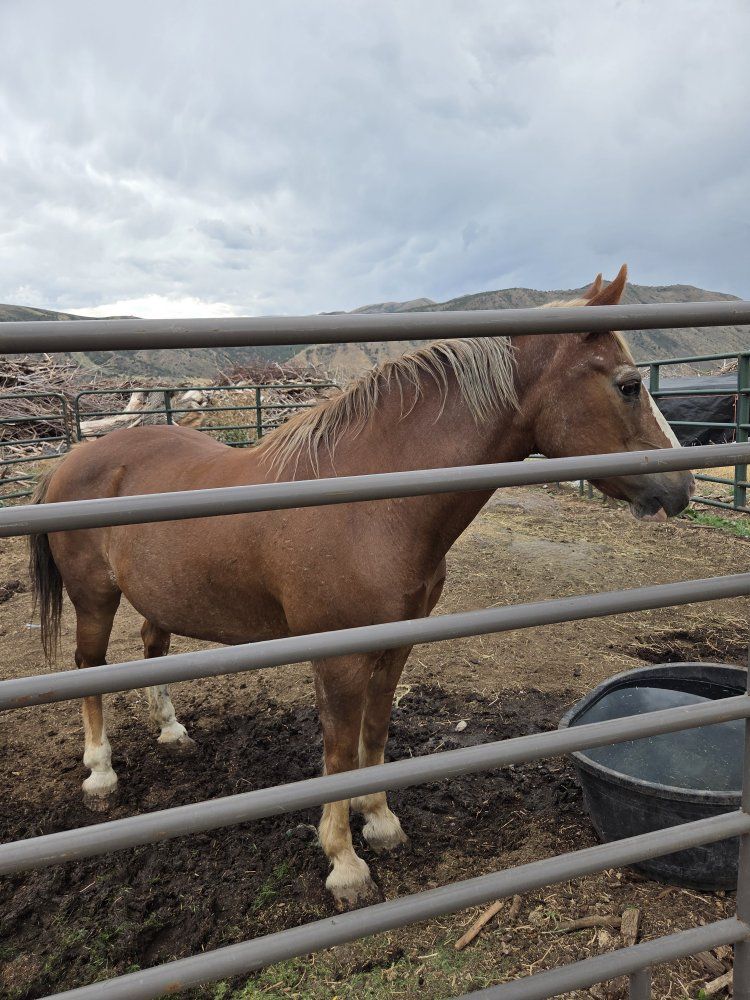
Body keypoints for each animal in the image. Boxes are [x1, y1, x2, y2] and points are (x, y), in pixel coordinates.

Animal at [29, 265, 694, 907]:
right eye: (629, 385)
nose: (682, 488)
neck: (372, 503)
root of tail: (70, 461)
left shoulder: (395, 643)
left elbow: (374, 736)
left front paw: (379, 821)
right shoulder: (339, 656)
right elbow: (340, 752)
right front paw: (345, 864)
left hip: (160, 596)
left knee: (152, 647)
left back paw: (172, 731)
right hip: (94, 599)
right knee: (90, 666)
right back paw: (100, 774)